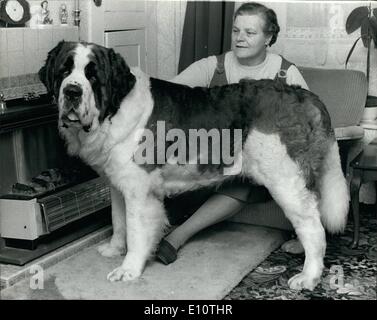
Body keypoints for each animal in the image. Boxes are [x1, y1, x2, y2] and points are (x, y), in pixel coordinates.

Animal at [39, 41, 348, 292]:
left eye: (93, 75)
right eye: (64, 71)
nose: (72, 91)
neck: (114, 110)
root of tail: (305, 95)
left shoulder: (139, 191)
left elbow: (136, 229)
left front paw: (129, 269)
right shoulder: (118, 183)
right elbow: (118, 221)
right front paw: (114, 249)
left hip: (285, 180)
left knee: (312, 226)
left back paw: (308, 276)